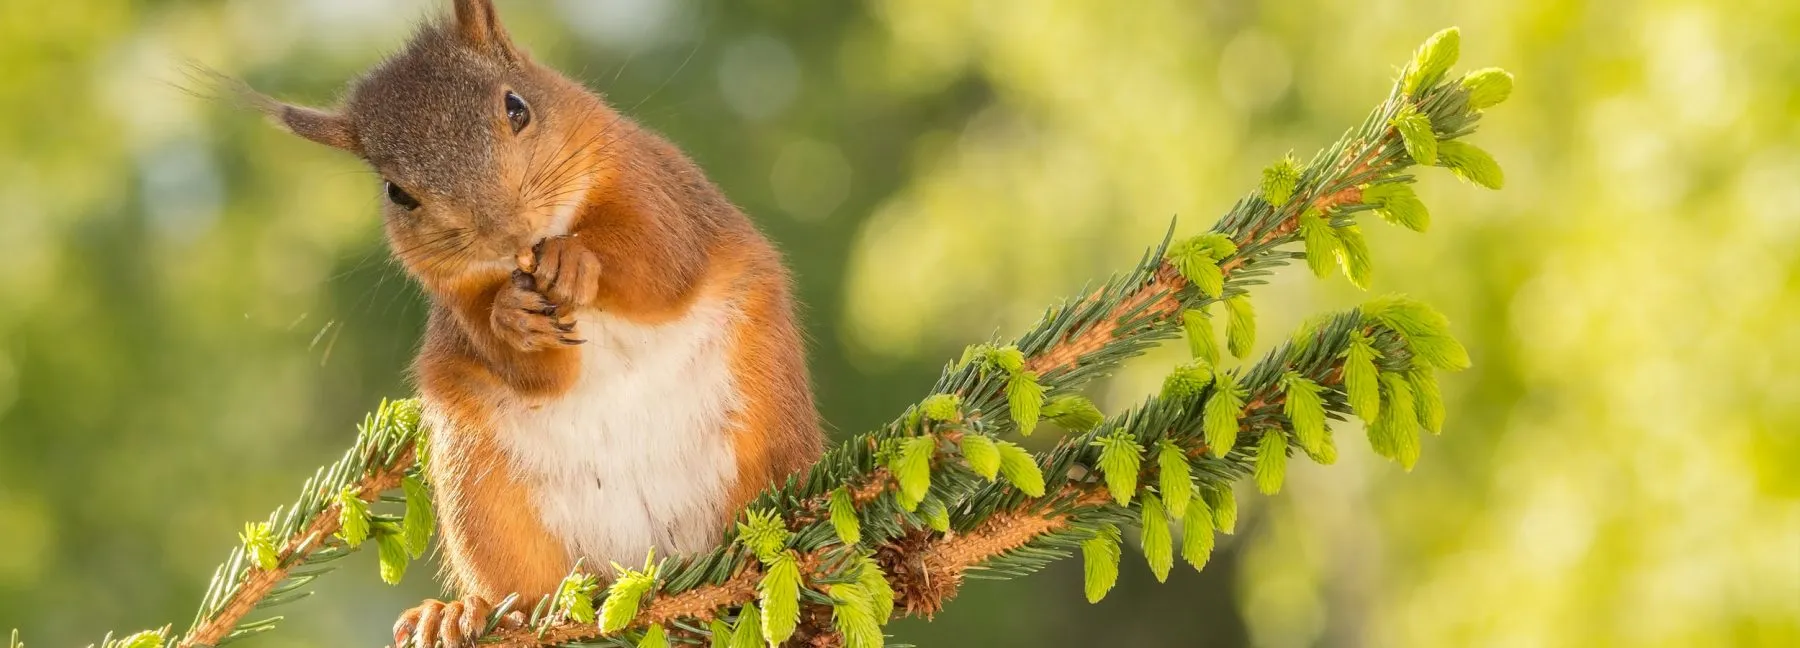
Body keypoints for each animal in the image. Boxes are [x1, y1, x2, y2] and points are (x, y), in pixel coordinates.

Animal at [232, 1, 824, 645]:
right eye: (397, 193)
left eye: (517, 108)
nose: (505, 232)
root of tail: (645, 570)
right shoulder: (456, 302)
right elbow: (530, 369)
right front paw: (510, 315)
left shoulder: (661, 190)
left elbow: (660, 263)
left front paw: (575, 257)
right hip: (483, 494)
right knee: (525, 594)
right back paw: (459, 613)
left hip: (766, 429)